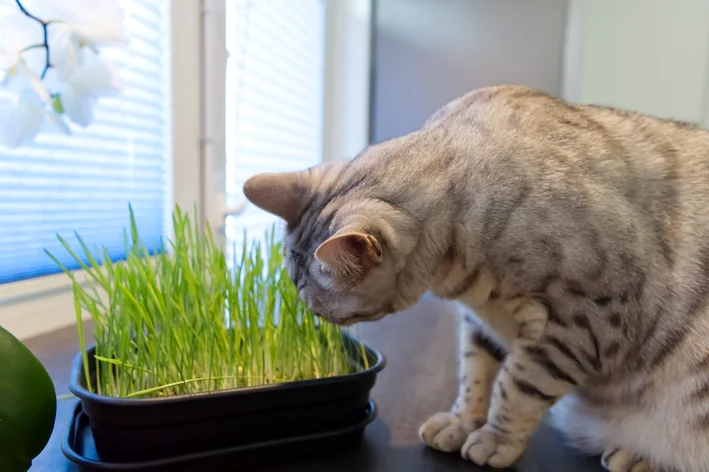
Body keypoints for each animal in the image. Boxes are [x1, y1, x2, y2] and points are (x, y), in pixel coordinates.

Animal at [241, 85, 708, 472]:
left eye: (324, 311)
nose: (314, 322)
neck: (465, 281)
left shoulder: (584, 324)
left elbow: (517, 386)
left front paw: (494, 440)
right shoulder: (479, 322)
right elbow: (476, 375)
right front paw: (461, 423)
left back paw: (639, 455)